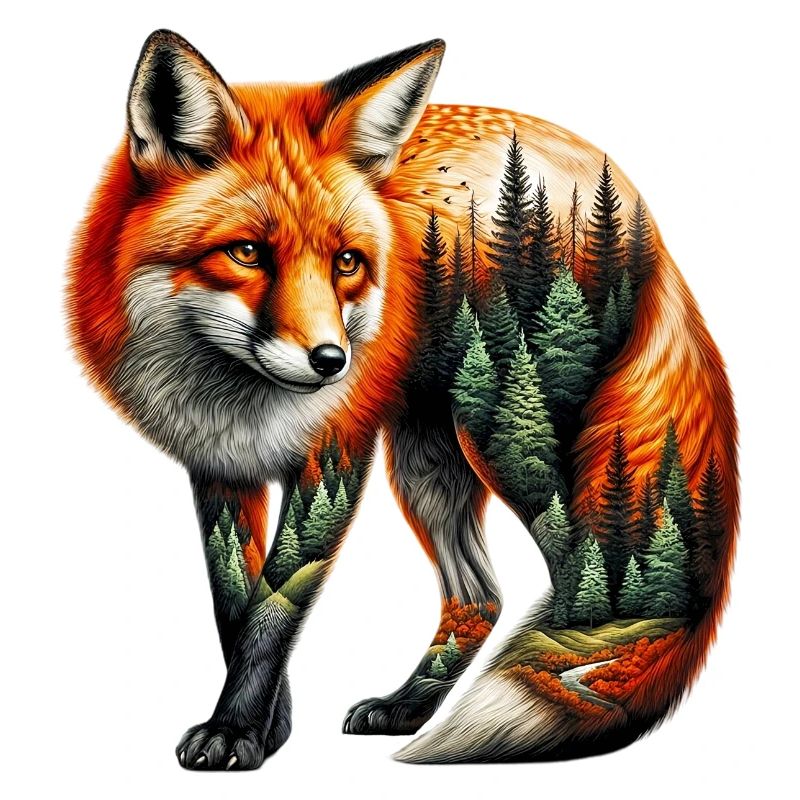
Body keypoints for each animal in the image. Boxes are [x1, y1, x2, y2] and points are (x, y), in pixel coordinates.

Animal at [67, 30, 738, 769]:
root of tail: (608, 176)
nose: (332, 362)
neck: (237, 400)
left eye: (346, 263)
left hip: (518, 445)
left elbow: (272, 614)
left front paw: (236, 730)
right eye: (246, 253)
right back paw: (411, 706)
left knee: (585, 578)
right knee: (481, 597)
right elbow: (235, 609)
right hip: (427, 468)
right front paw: (270, 727)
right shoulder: (219, 470)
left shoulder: (334, 458)